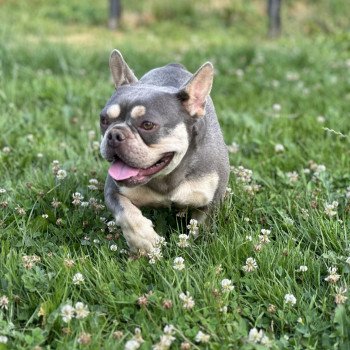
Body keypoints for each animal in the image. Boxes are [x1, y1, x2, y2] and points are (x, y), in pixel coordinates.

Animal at [99, 50, 230, 254]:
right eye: (104, 120)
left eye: (147, 125)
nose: (114, 134)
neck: (166, 178)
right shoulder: (113, 190)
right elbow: (126, 213)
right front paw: (143, 239)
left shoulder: (210, 201)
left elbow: (201, 226)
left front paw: (194, 246)